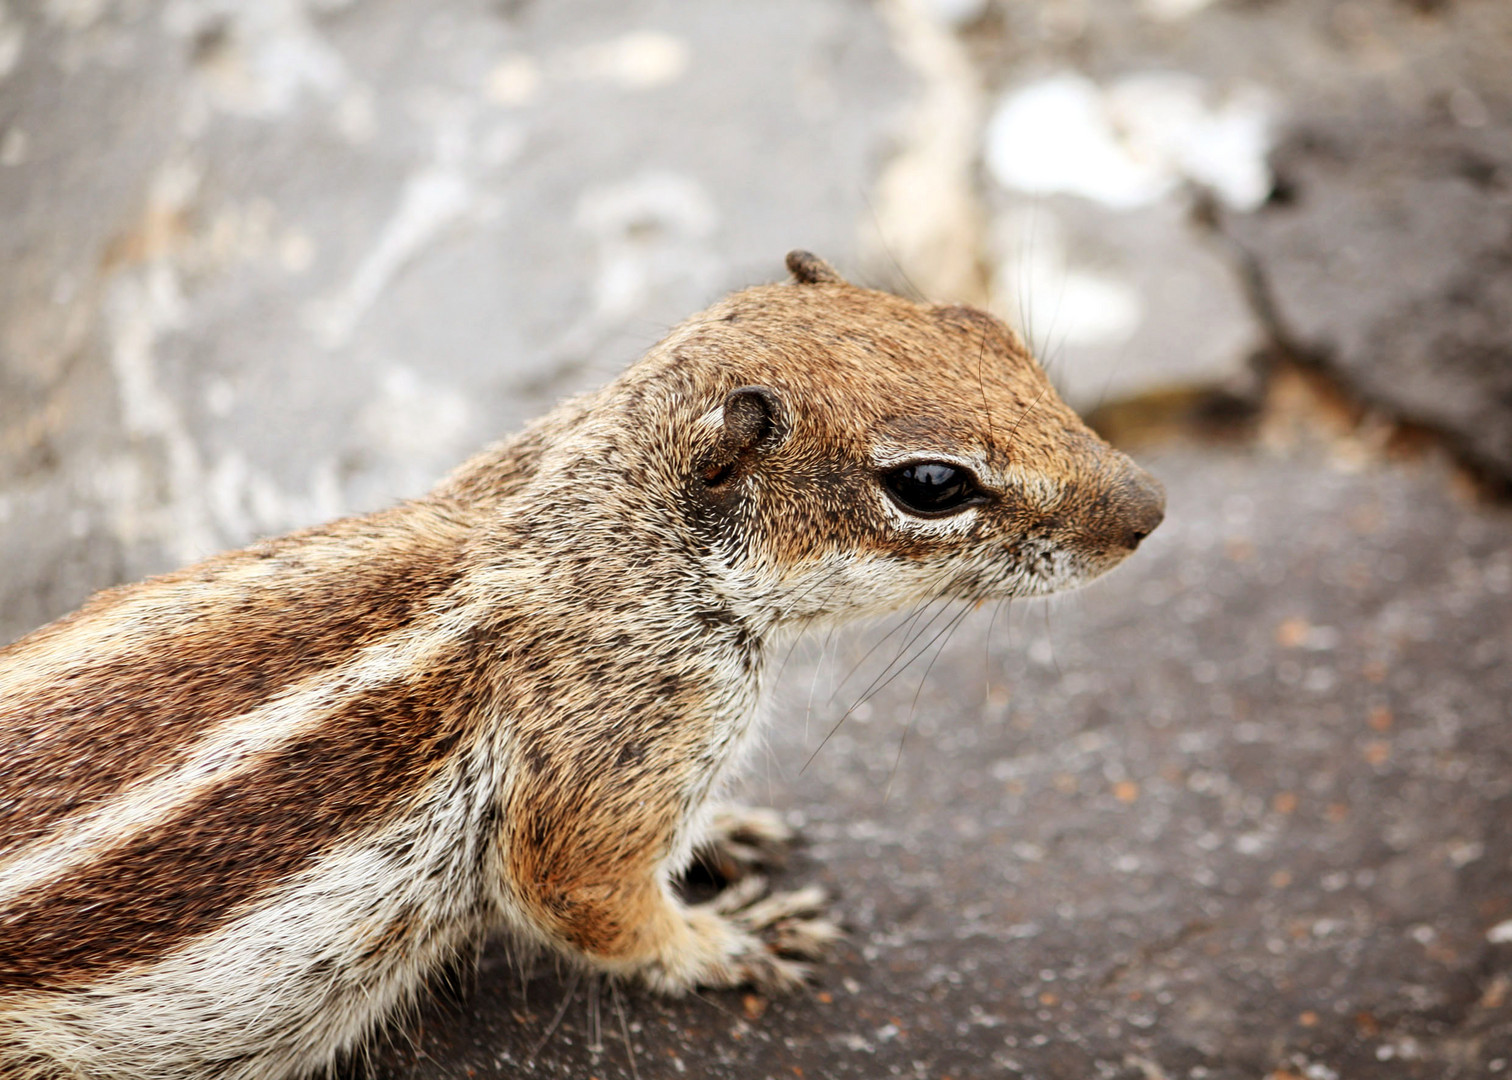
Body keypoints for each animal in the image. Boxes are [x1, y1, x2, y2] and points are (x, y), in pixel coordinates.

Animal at [0, 248, 1167, 1070]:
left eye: (981, 326)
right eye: (930, 485)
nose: (1150, 508)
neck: (605, 524)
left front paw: (727, 835)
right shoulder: (614, 750)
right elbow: (588, 898)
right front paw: (727, 941)